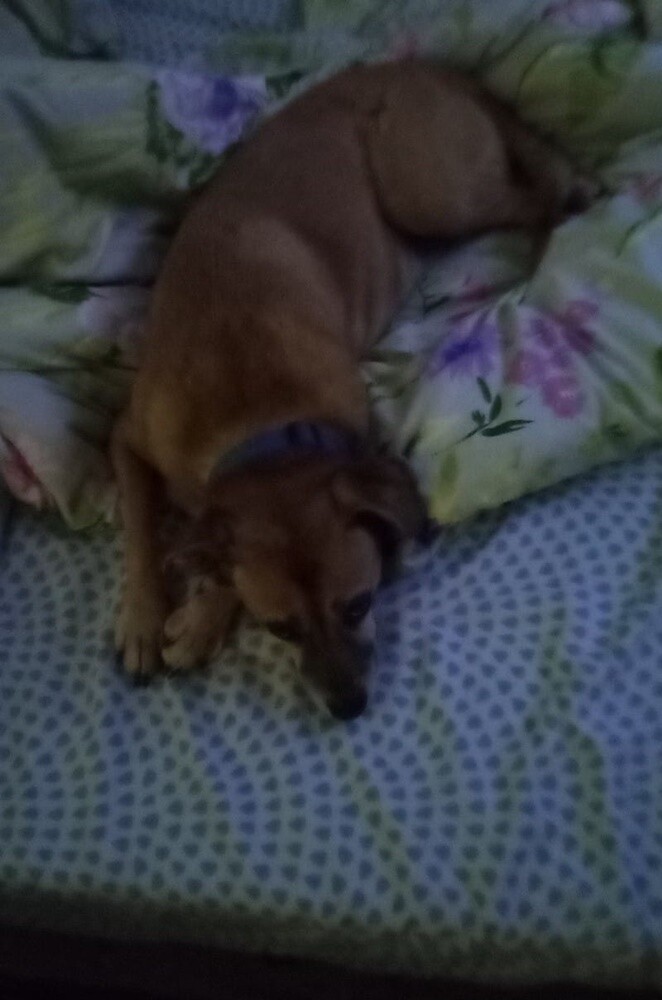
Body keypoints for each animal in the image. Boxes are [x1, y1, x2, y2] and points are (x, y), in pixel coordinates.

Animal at [112, 59, 594, 719]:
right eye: (280, 629)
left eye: (360, 605)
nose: (347, 708)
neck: (255, 417)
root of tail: (426, 67)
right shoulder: (130, 439)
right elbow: (139, 534)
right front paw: (144, 616)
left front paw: (203, 613)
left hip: (427, 191)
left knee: (541, 190)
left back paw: (548, 237)